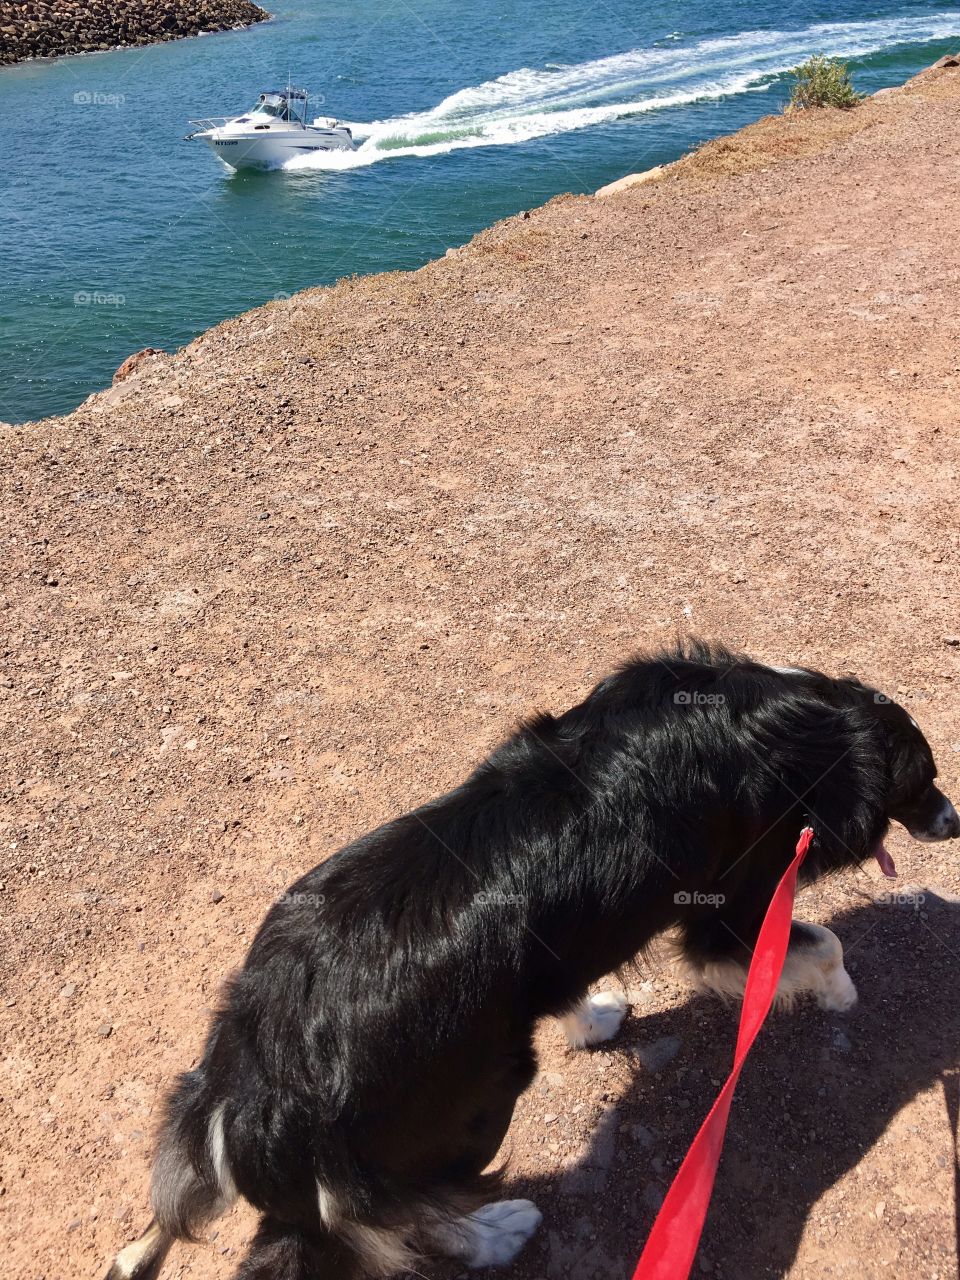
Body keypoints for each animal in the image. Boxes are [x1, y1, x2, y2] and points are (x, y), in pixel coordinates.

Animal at [106, 640, 960, 1280]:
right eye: (926, 781)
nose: (953, 823)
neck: (801, 722)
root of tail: (249, 1081)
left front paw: (595, 1014)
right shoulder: (732, 913)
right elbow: (822, 945)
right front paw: (839, 992)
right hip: (467, 1112)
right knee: (385, 1224)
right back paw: (494, 1232)